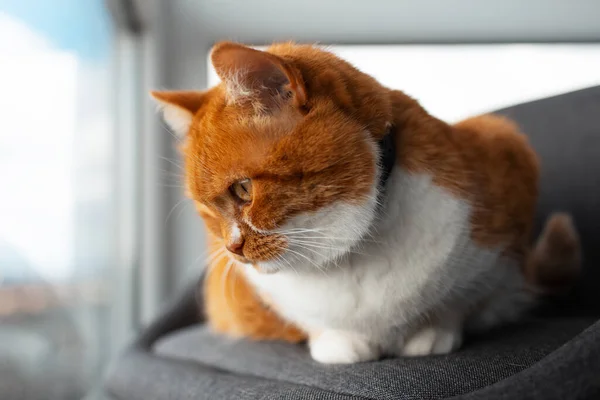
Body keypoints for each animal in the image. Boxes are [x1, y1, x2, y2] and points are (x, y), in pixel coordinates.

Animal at [151, 42, 580, 364]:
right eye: (207, 211)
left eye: (243, 190)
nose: (232, 249)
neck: (351, 251)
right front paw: (340, 344)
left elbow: (459, 302)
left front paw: (434, 331)